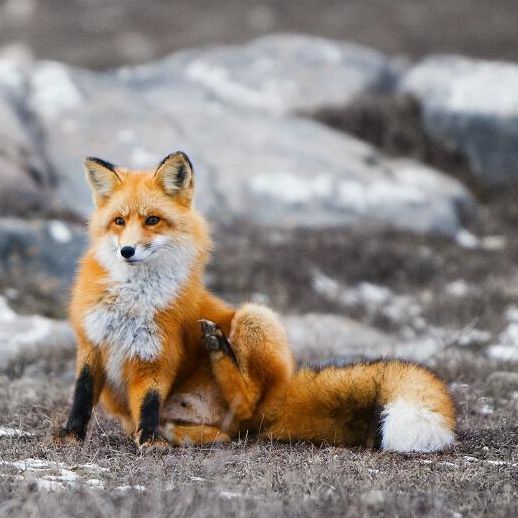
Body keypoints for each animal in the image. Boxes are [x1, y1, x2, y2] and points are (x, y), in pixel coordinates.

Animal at [54, 152, 458, 452]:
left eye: (152, 220)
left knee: (246, 405)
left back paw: (219, 351)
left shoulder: (157, 351)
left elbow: (149, 401)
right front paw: (71, 435)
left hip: (256, 316)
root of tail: (280, 397)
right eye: (119, 222)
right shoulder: (92, 341)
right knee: (224, 434)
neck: (133, 300)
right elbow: (82, 394)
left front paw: (149, 440)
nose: (127, 251)